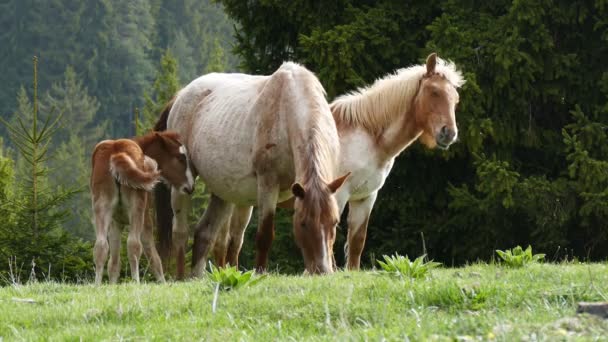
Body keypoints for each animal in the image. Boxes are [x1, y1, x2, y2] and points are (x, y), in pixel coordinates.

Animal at [90, 131, 194, 284]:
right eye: (181, 158)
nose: (190, 187)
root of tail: (117, 153)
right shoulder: (146, 218)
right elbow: (154, 257)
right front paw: (163, 283)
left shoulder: (115, 222)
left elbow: (114, 263)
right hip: (137, 207)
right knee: (133, 245)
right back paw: (136, 283)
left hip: (102, 206)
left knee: (100, 246)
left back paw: (97, 286)